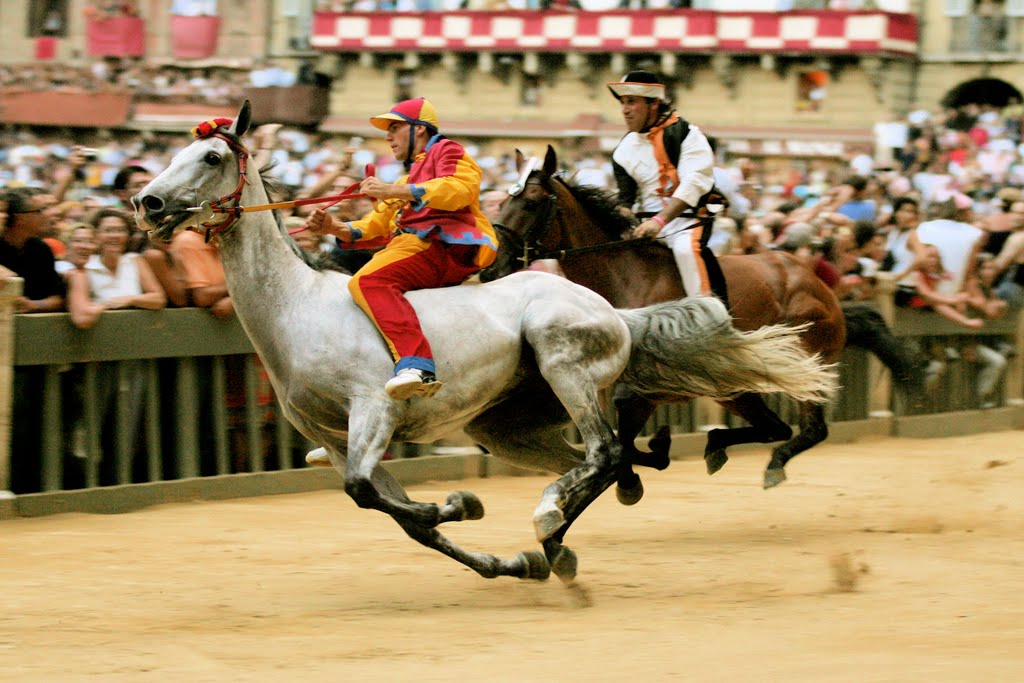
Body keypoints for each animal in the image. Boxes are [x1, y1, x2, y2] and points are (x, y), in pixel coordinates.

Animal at [481, 148, 847, 491]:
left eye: (530, 203)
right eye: (502, 203)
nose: (491, 268)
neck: (624, 277)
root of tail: (814, 279)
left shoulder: (661, 383)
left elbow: (623, 434)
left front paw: (635, 471)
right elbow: (616, 440)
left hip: (804, 361)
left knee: (811, 428)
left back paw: (768, 462)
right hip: (735, 385)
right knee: (776, 427)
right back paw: (720, 447)